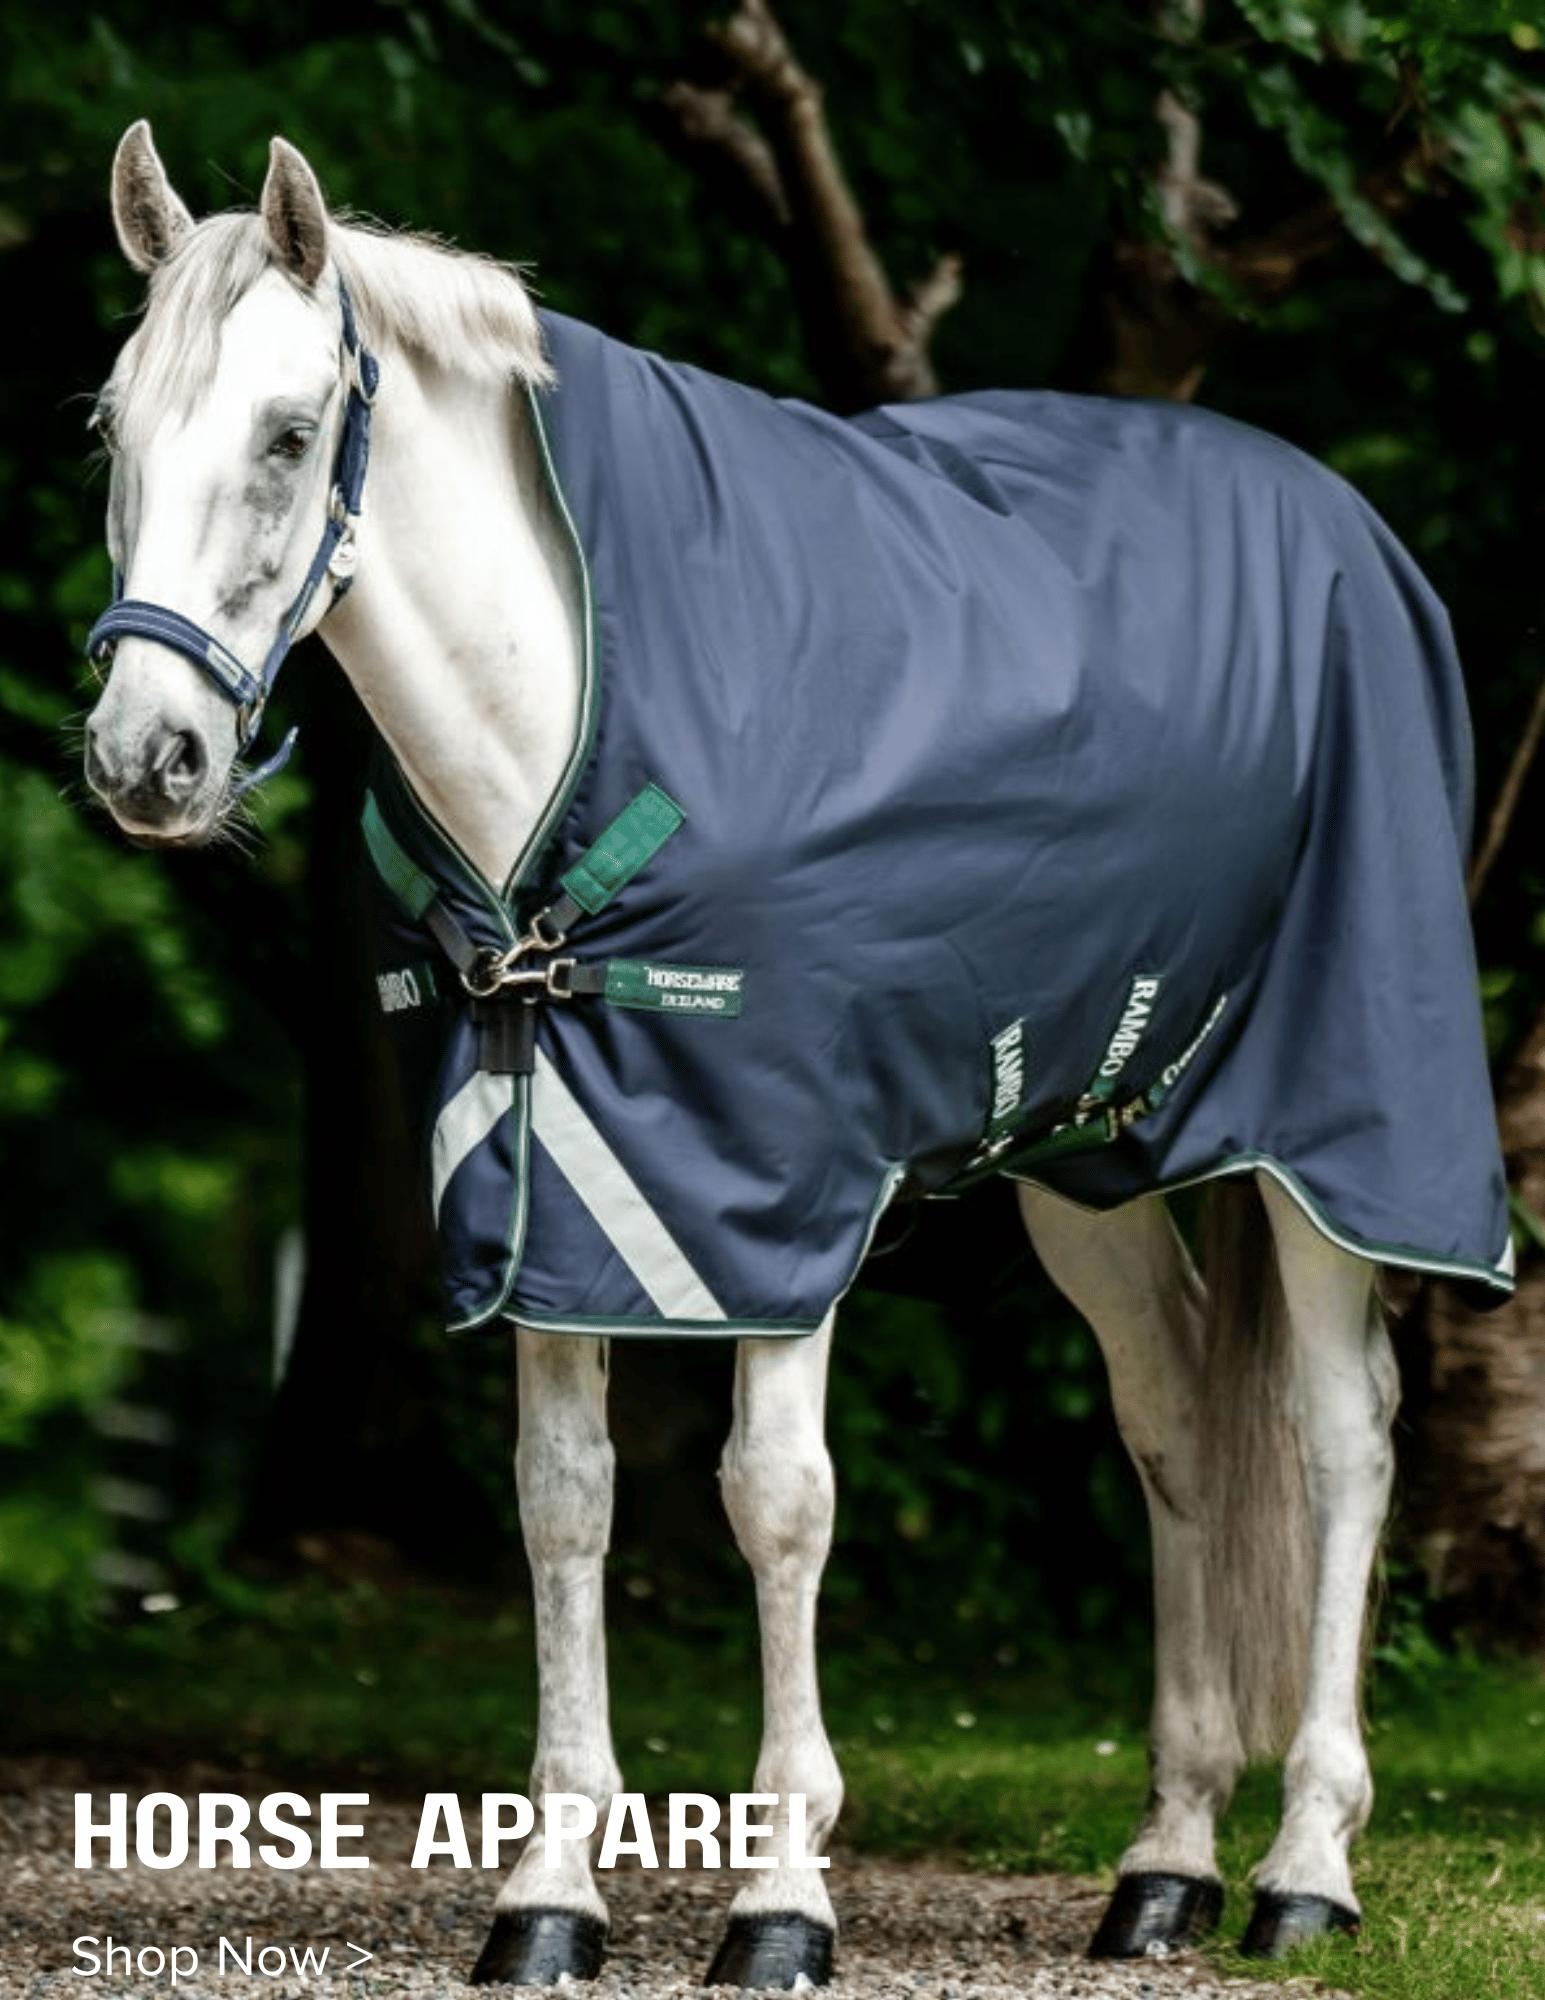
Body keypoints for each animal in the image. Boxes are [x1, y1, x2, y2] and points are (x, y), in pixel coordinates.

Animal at [80, 122, 1512, 1988]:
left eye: (287, 432)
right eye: (113, 427)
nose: (146, 760)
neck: (574, 718)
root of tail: (1355, 531)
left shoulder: (778, 1194)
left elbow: (775, 1499)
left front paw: (778, 1893)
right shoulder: (557, 1192)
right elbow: (562, 1501)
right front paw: (549, 1892)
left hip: (1331, 1138)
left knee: (1344, 1436)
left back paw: (1306, 1867)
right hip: (1093, 1159)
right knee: (1179, 1424)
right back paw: (1167, 1862)